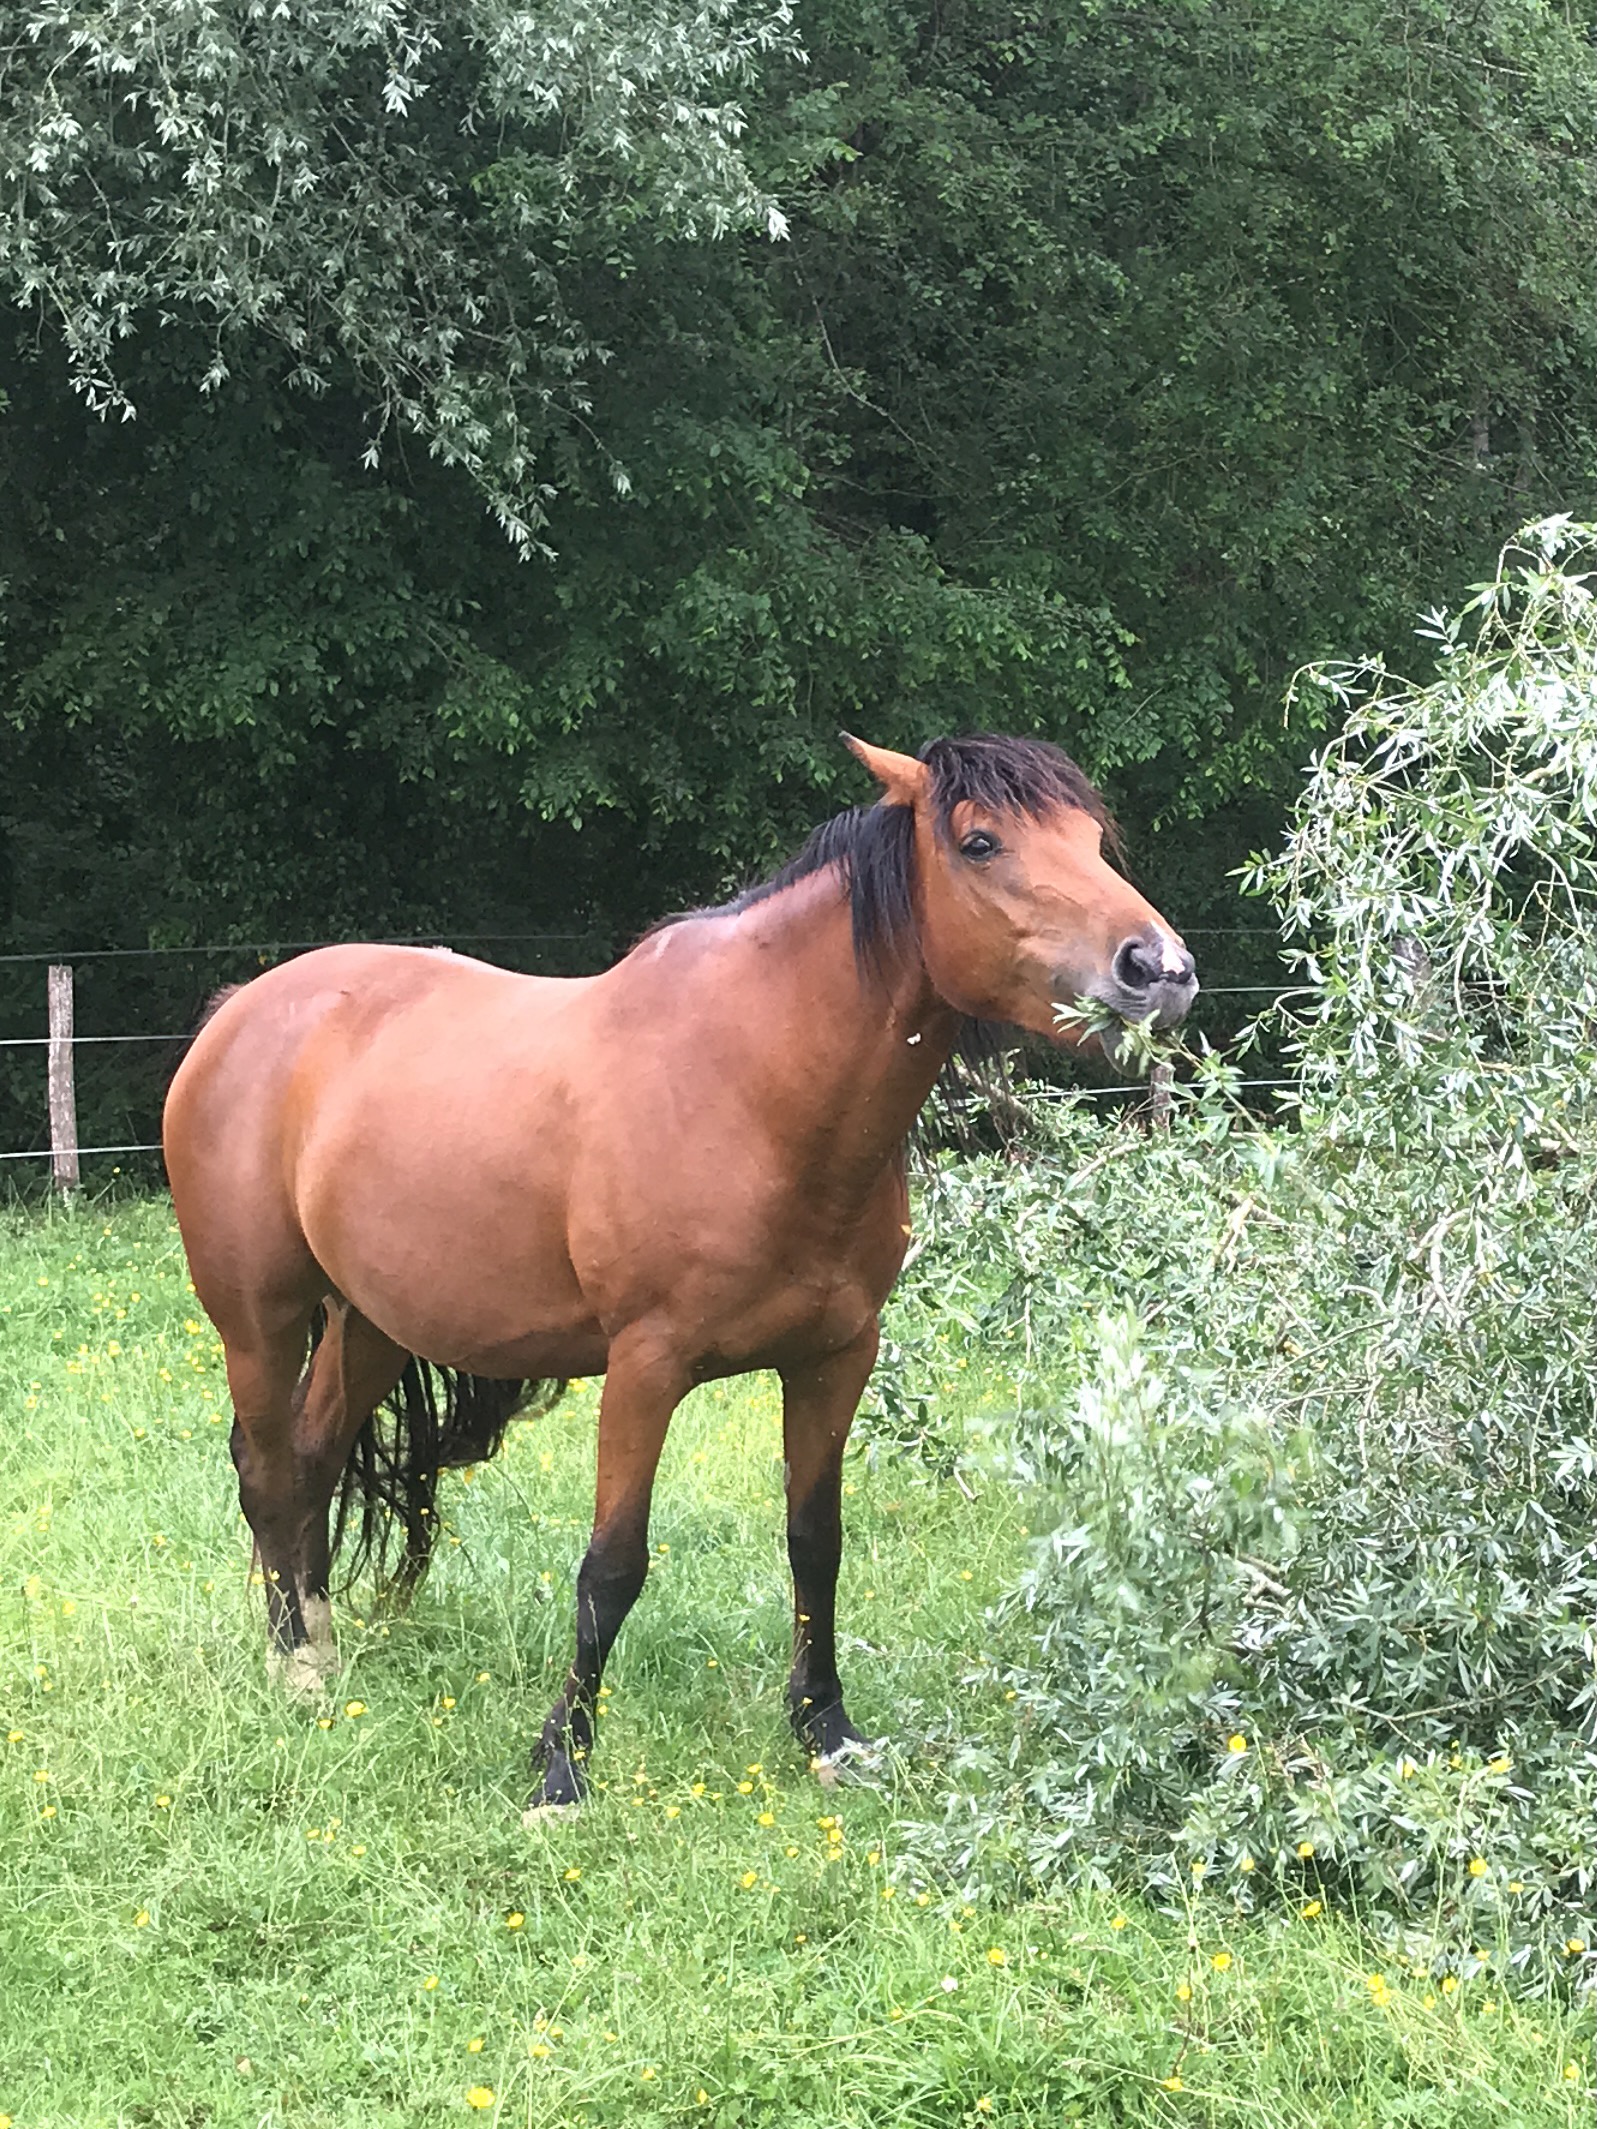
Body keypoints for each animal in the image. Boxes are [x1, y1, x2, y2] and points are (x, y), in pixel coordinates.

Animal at [162, 728, 1192, 1796]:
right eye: (981, 841)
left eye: (1090, 837)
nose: (1160, 967)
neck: (752, 1089)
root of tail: (242, 1009)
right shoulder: (645, 1368)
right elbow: (611, 1566)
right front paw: (561, 1767)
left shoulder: (834, 1360)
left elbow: (815, 1543)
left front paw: (825, 1729)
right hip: (259, 1317)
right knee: (267, 1467)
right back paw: (294, 1667)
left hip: (372, 1320)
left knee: (315, 1457)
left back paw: (321, 1645)